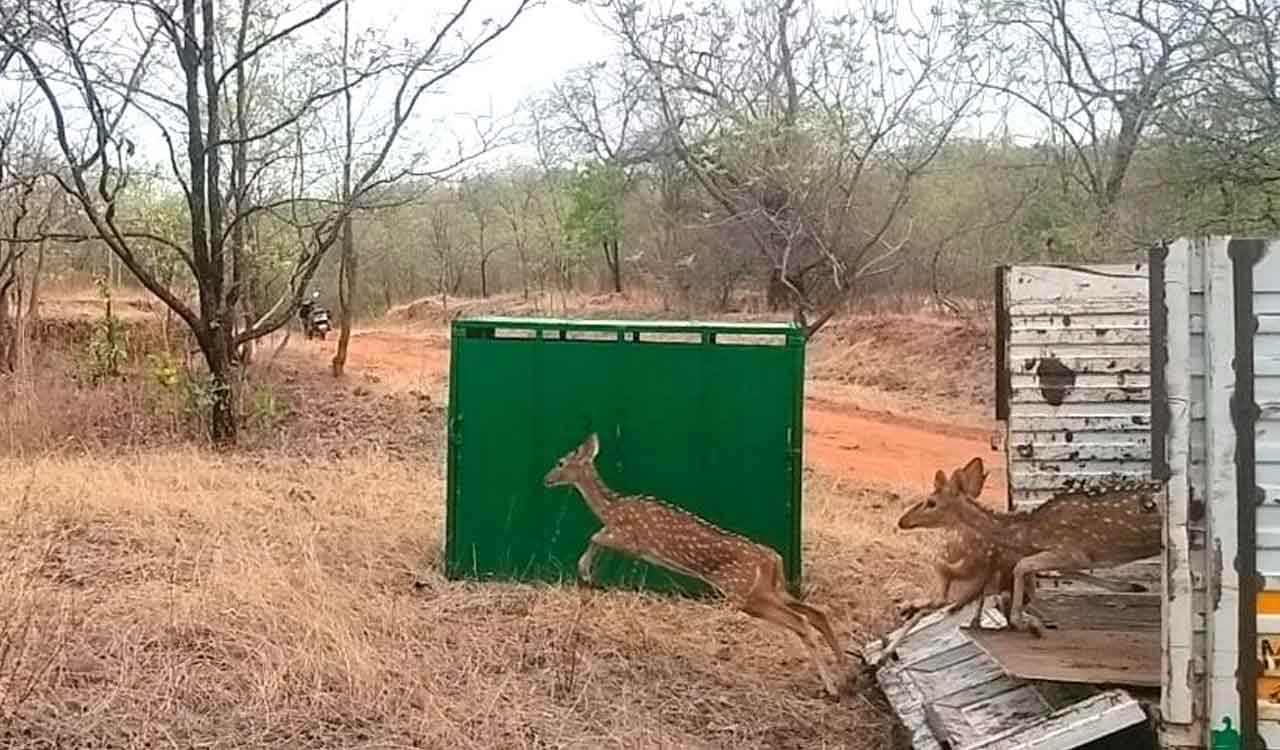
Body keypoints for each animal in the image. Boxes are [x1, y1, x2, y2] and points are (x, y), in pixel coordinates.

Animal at [543, 432, 849, 697]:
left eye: (560, 462)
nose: (545, 479)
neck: (611, 507)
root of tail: (773, 559)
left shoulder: (630, 538)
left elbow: (594, 535)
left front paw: (585, 569)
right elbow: (595, 536)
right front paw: (587, 572)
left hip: (743, 592)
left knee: (800, 621)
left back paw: (833, 686)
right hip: (769, 589)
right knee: (817, 613)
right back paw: (845, 674)